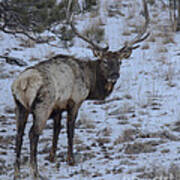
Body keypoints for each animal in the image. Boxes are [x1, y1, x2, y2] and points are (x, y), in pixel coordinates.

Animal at [11, 0, 149, 179]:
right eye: (104, 61)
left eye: (119, 62)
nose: (114, 75)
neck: (90, 83)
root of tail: (22, 83)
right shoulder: (75, 101)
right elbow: (70, 129)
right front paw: (71, 159)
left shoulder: (58, 107)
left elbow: (57, 129)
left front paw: (52, 157)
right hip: (42, 105)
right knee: (33, 134)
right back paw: (35, 172)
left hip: (20, 106)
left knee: (18, 134)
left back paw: (17, 172)